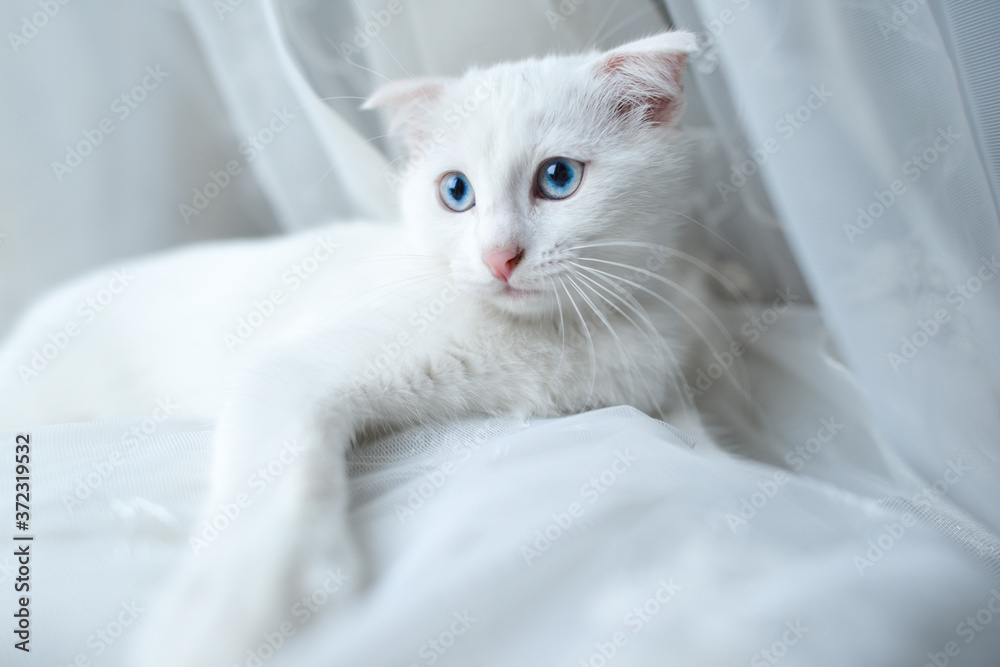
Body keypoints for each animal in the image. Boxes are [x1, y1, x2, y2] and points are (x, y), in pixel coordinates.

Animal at [1, 30, 736, 667]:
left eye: (558, 178)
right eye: (456, 192)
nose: (499, 256)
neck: (551, 336)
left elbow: (695, 436)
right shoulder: (290, 370)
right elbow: (279, 481)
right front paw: (240, 611)